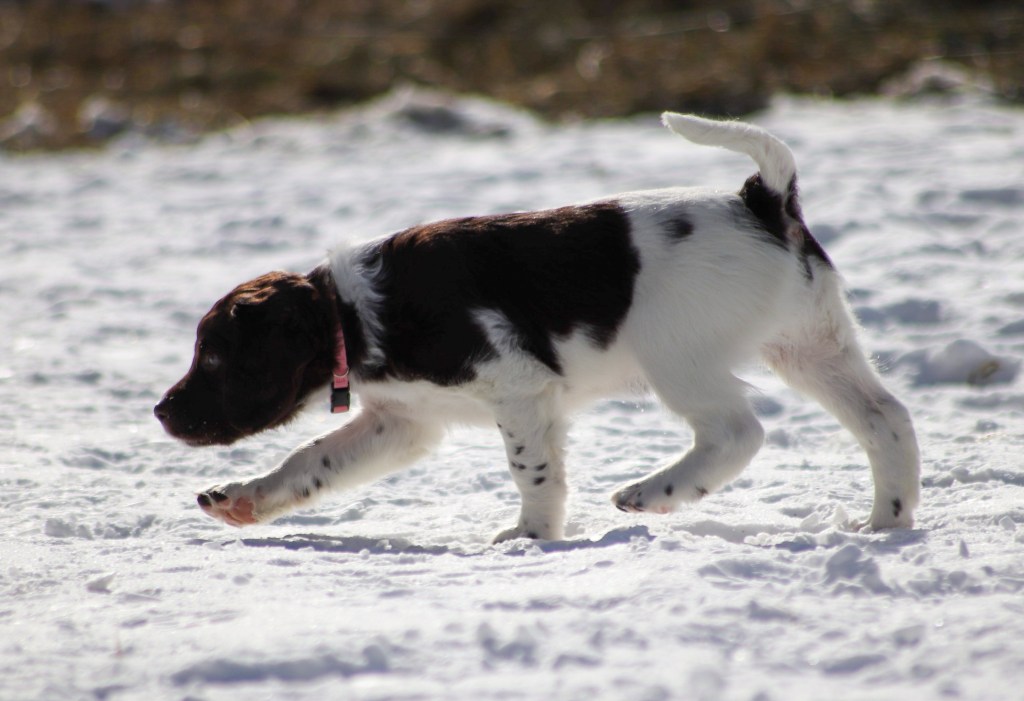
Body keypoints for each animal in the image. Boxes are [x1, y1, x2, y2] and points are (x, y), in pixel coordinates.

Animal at [154, 113, 920, 541]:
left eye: (214, 358)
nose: (161, 411)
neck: (355, 311)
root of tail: (763, 200)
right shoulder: (405, 421)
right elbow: (311, 460)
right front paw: (242, 502)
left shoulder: (517, 386)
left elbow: (534, 471)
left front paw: (530, 537)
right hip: (811, 344)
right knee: (885, 417)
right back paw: (887, 520)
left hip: (675, 351)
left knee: (738, 430)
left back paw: (653, 492)